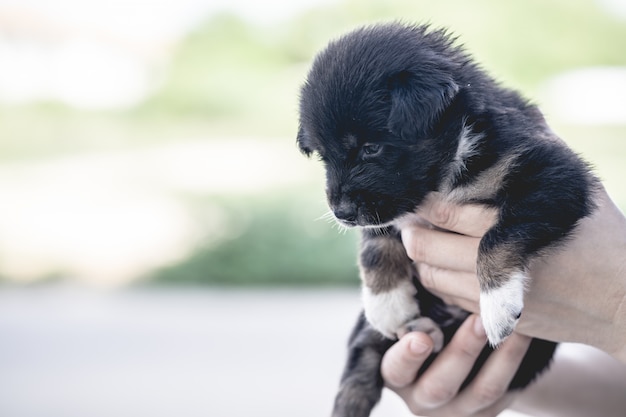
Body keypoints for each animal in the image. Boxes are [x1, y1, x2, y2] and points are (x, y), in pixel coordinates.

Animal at [296, 23, 596, 416]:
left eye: (370, 148)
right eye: (322, 157)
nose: (342, 214)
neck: (452, 160)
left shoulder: (556, 174)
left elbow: (496, 237)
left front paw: (498, 306)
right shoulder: (389, 207)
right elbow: (374, 245)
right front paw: (387, 304)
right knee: (359, 373)